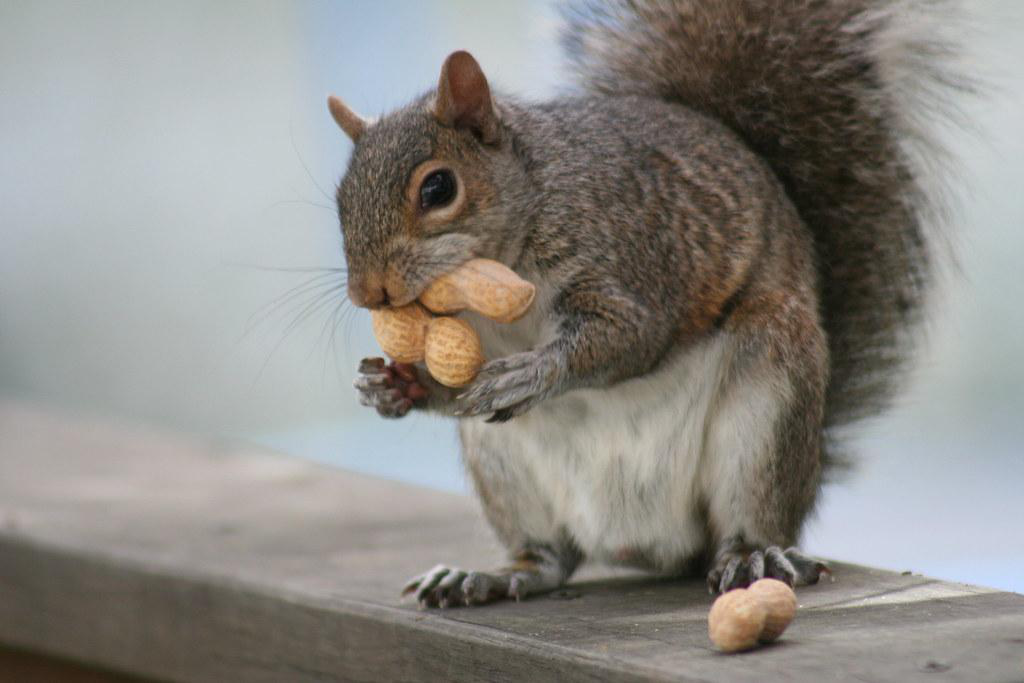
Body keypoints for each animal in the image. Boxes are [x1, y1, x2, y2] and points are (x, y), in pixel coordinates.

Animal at [329, 0, 963, 605]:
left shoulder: (632, 261)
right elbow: (451, 384)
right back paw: (488, 576)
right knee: (550, 556)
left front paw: (530, 373)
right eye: (340, 200)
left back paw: (752, 556)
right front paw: (392, 386)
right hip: (500, 461)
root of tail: (641, 542)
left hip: (768, 408)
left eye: (438, 188)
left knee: (749, 517)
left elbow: (629, 338)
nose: (366, 292)